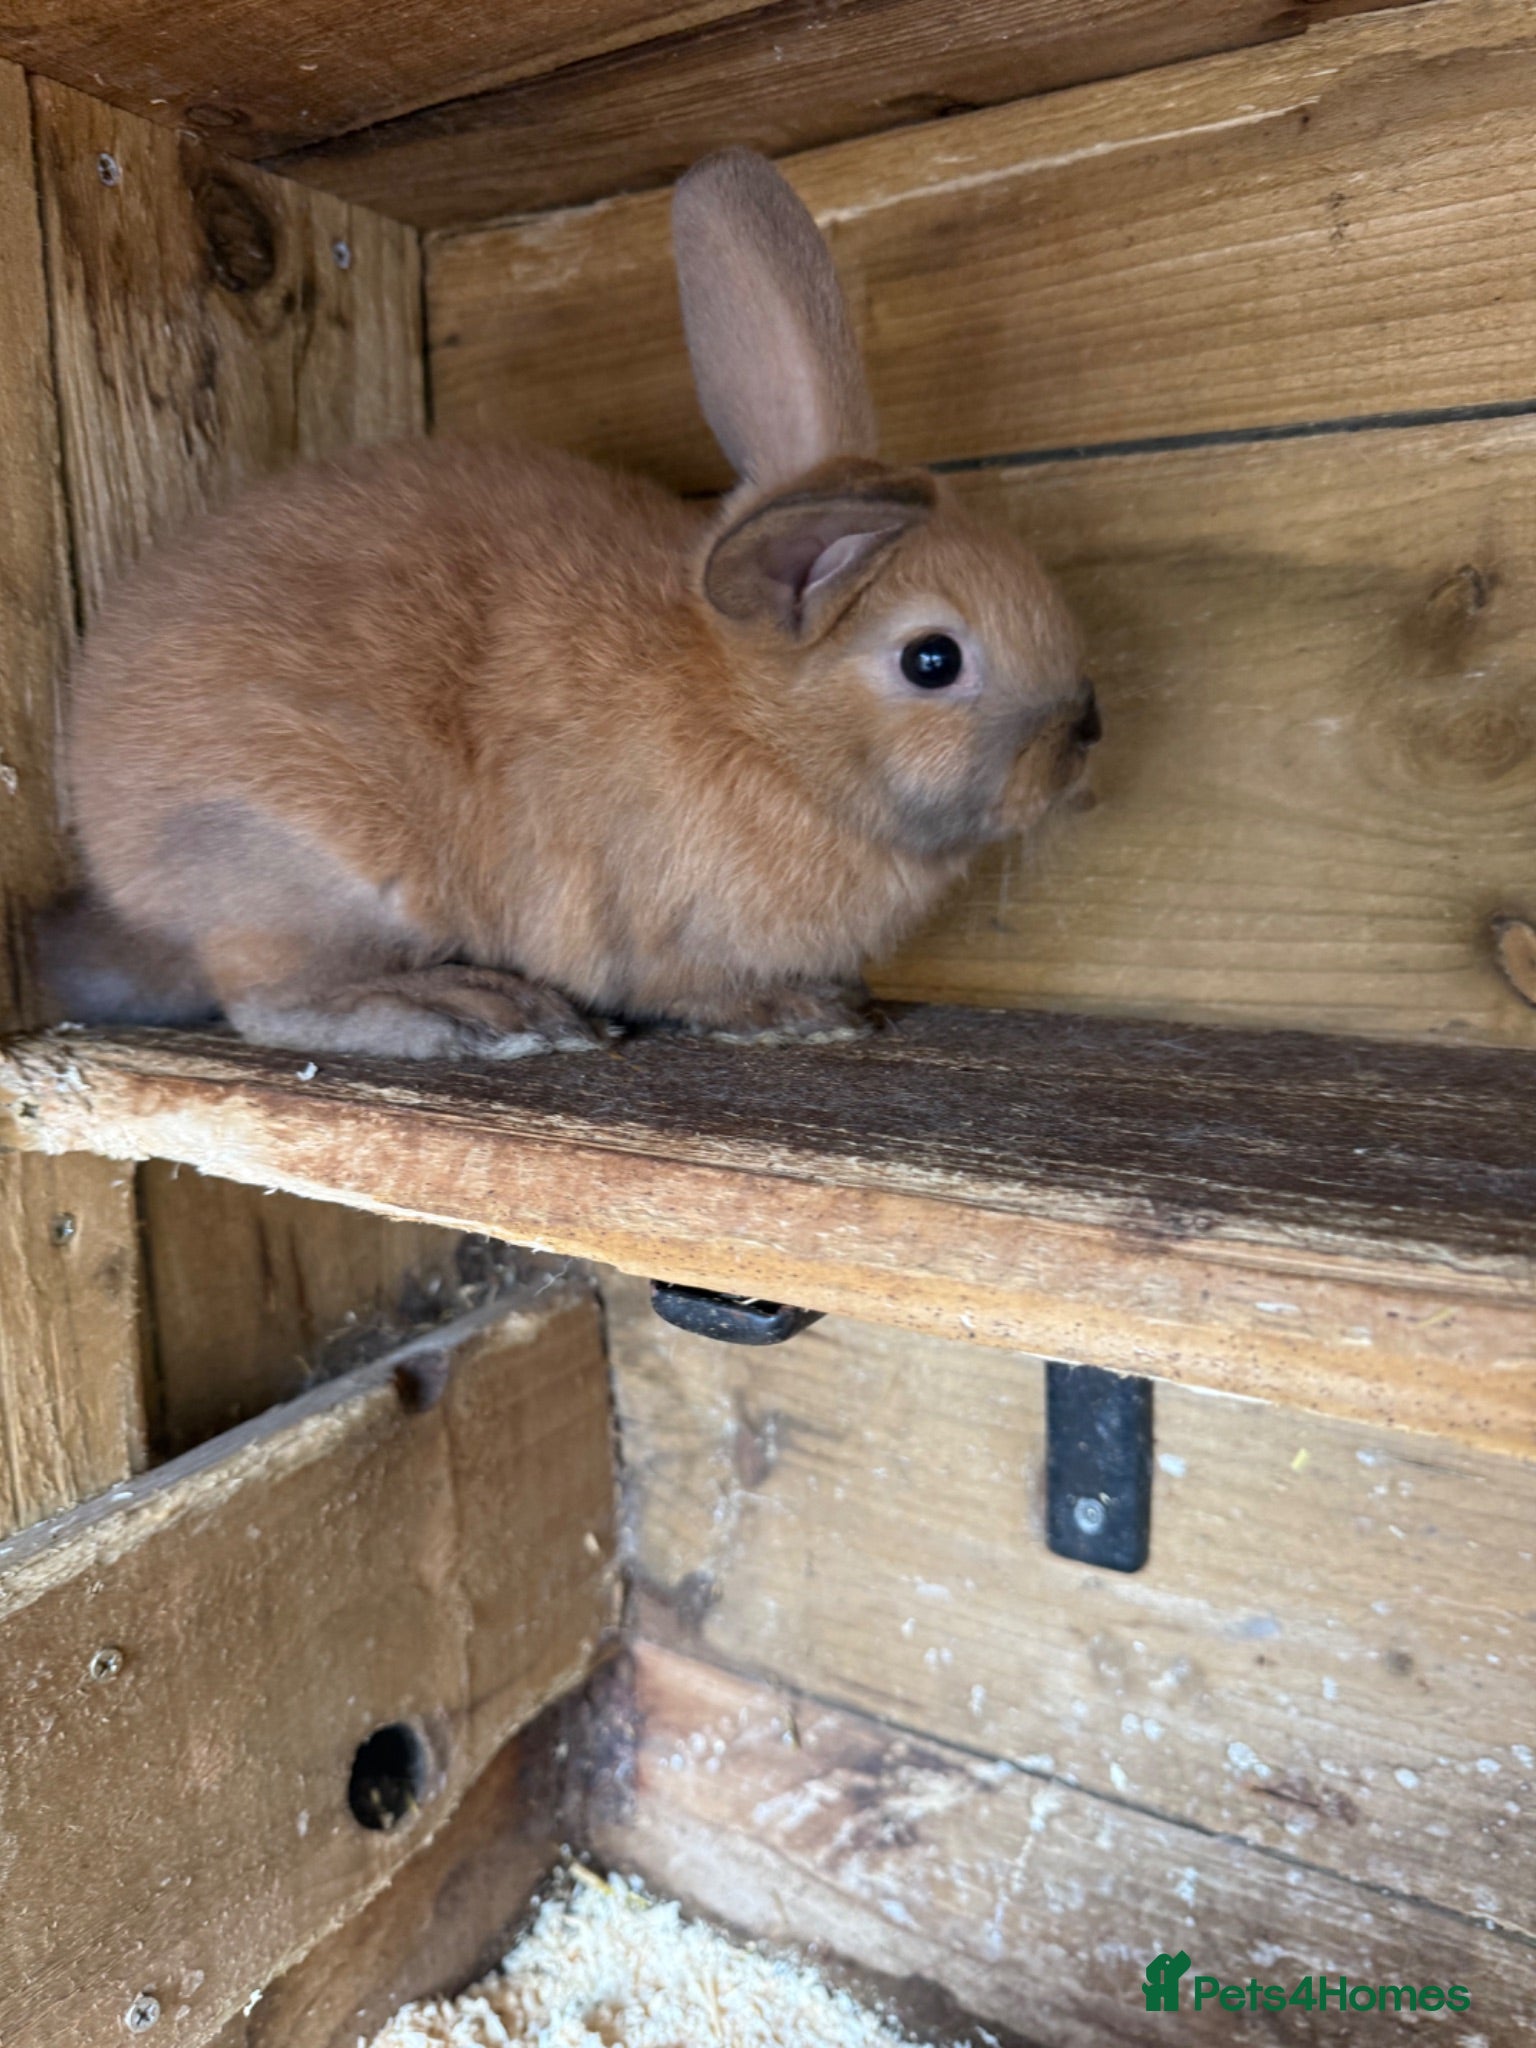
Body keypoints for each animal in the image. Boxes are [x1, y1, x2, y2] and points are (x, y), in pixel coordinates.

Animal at [47, 148, 1097, 1060]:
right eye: (933, 659)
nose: (1086, 733)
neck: (760, 726)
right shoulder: (658, 921)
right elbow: (692, 987)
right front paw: (798, 1012)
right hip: (316, 866)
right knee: (273, 999)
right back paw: (480, 1012)